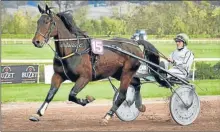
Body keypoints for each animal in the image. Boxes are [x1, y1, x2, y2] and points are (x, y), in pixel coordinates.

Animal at [29, 4, 160, 125]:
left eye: (47, 22)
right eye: (38, 22)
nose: (36, 41)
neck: (73, 50)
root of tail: (134, 42)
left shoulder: (85, 77)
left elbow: (72, 95)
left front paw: (87, 99)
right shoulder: (58, 75)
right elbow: (50, 94)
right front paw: (38, 113)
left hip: (127, 72)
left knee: (122, 95)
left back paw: (107, 116)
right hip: (118, 73)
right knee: (137, 83)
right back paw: (139, 106)